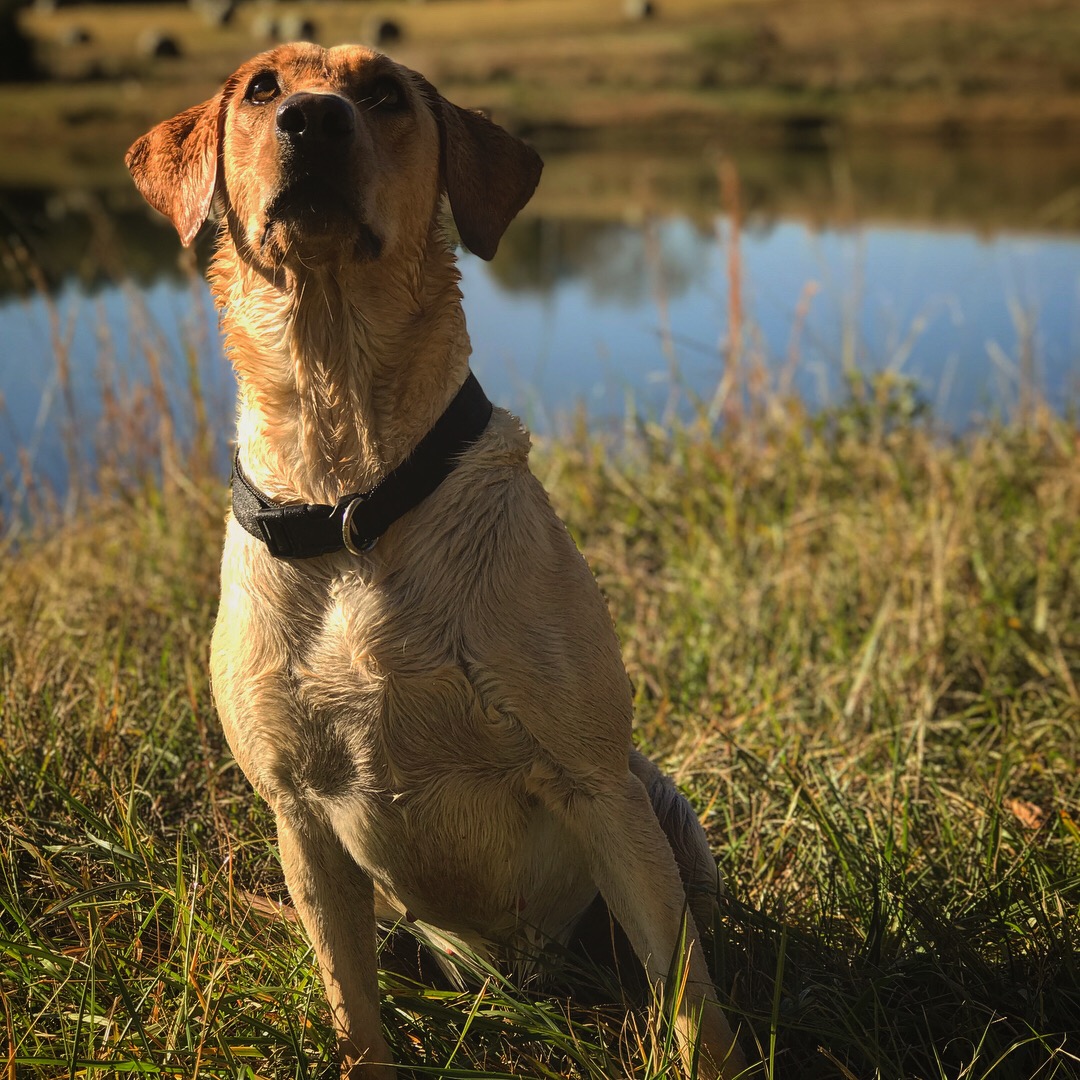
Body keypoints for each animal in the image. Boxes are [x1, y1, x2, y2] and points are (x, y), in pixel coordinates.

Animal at [126, 42, 747, 1080]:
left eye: (382, 93)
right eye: (261, 88)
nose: (312, 119)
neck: (352, 498)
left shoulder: (594, 782)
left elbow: (691, 997)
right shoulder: (300, 820)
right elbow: (353, 1012)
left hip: (661, 812)